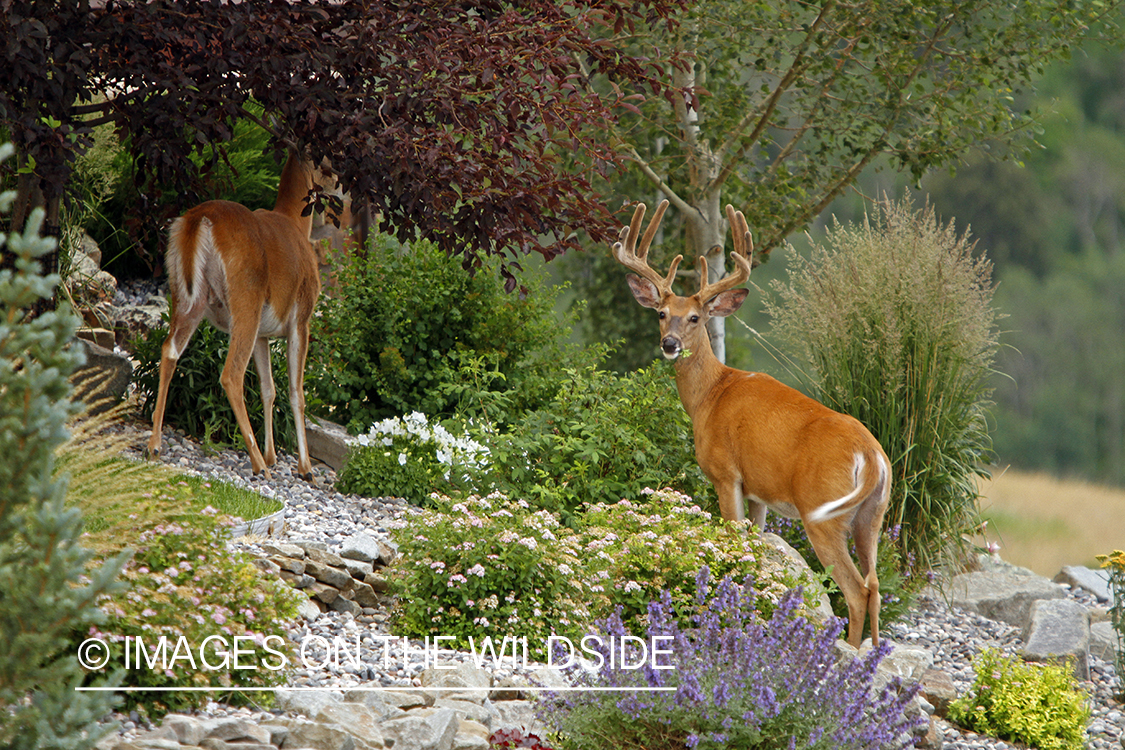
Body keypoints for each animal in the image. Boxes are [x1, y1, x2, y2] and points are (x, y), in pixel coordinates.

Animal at [616, 197, 886, 647]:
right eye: (661, 313)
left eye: (695, 317)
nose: (669, 344)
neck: (710, 395)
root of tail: (871, 455)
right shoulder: (760, 492)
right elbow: (754, 553)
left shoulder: (726, 474)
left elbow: (733, 542)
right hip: (873, 517)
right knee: (876, 585)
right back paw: (876, 652)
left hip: (824, 513)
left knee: (857, 590)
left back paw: (846, 651)